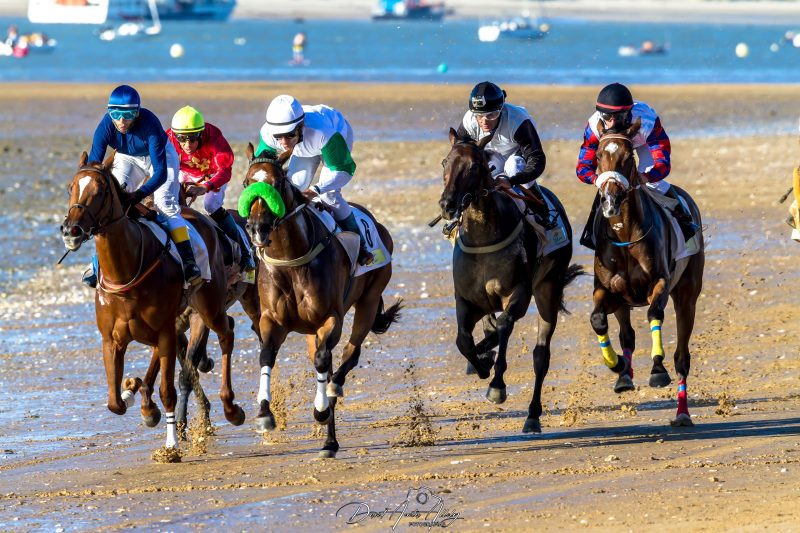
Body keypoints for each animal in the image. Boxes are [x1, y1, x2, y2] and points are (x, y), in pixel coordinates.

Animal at [60, 152, 245, 454]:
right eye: (70, 188)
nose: (70, 230)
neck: (125, 272)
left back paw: (231, 407)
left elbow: (168, 391)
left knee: (226, 332)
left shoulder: (166, 332)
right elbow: (115, 402)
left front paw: (170, 445)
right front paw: (138, 399)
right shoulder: (112, 339)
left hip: (209, 307)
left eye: (100, 192)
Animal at [240, 143, 402, 458]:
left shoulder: (330, 318)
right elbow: (266, 355)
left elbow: (324, 360)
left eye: (277, 183)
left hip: (368, 301)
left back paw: (332, 401)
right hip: (310, 332)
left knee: (349, 355)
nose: (257, 228)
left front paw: (320, 408)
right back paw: (329, 438)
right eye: (246, 183)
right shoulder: (273, 321)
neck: (291, 261)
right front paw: (264, 413)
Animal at [438, 127, 583, 434]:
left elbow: (505, 324)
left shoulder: (519, 293)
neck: (483, 237)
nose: (447, 204)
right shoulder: (466, 299)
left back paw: (532, 416)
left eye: (475, 166)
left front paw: (496, 386)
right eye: (445, 162)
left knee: (541, 357)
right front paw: (480, 362)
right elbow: (463, 340)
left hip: (548, 290)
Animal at [590, 119, 705, 426]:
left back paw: (682, 413)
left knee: (682, 357)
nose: (610, 201)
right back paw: (624, 376)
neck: (625, 235)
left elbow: (655, 314)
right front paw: (616, 364)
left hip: (687, 295)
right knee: (627, 335)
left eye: (628, 157)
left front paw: (657, 370)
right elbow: (598, 321)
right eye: (598, 156)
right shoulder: (608, 291)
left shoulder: (660, 283)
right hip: (623, 301)